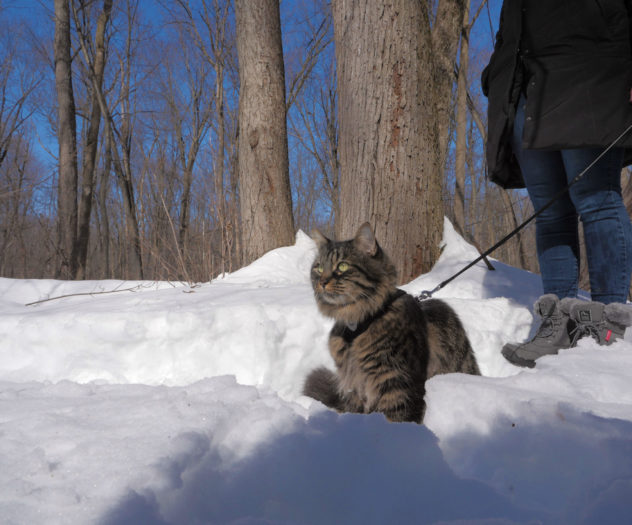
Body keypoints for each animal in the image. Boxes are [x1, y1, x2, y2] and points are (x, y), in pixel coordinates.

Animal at [302, 223, 478, 424]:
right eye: (319, 268)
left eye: (342, 266)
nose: (322, 282)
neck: (358, 324)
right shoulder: (354, 383)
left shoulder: (397, 382)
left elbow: (395, 418)